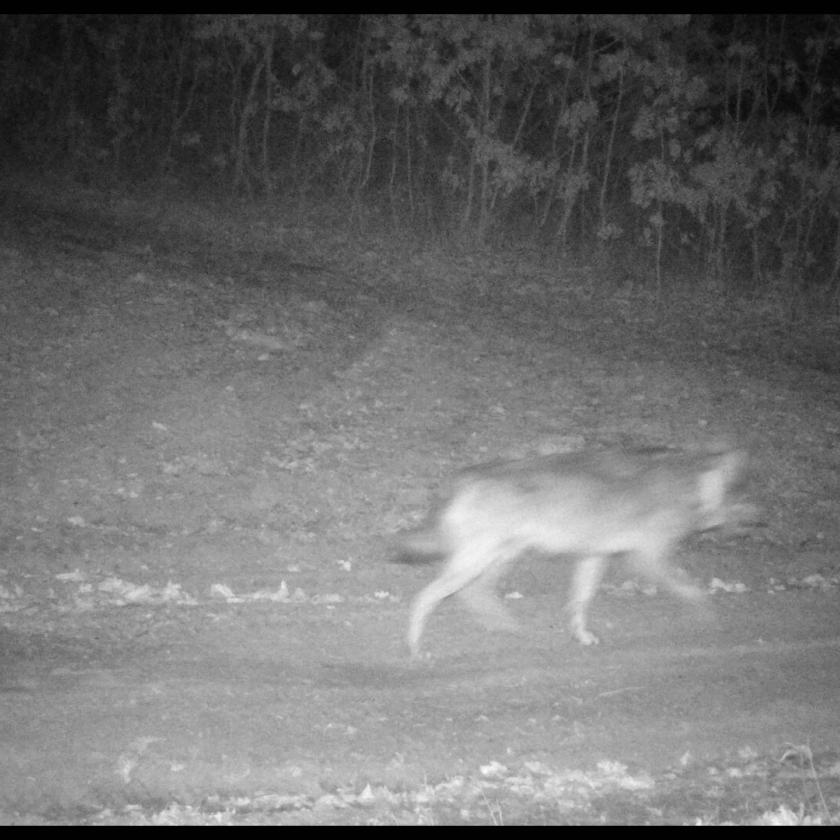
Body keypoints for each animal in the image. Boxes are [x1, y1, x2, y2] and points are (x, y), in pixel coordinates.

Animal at [398, 442, 752, 660]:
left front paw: (581, 636)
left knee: (475, 592)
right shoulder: (646, 557)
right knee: (426, 597)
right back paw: (416, 648)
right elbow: (693, 590)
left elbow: (580, 603)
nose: (759, 520)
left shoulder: (594, 556)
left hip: (501, 556)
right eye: (746, 495)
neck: (690, 483)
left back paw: (509, 629)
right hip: (480, 559)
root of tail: (464, 477)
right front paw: (711, 621)